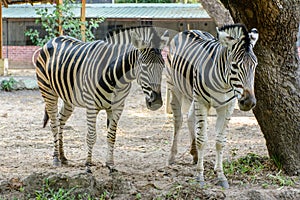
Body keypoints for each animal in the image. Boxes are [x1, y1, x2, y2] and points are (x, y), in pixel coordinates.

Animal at [35, 27, 169, 173]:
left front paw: (110, 164)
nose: (156, 102)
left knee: (60, 120)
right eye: (144, 66)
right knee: (54, 124)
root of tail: (54, 38)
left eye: (163, 66)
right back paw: (56, 158)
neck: (115, 77)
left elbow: (111, 136)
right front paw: (88, 165)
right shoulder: (91, 106)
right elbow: (91, 136)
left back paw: (63, 156)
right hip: (48, 92)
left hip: (68, 98)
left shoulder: (117, 107)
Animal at [165, 24, 258, 188]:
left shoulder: (227, 106)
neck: (224, 83)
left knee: (190, 118)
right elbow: (202, 139)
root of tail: (189, 30)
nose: (248, 102)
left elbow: (220, 142)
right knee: (178, 121)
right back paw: (172, 156)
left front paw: (221, 175)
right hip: (174, 87)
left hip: (192, 94)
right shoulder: (202, 102)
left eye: (255, 65)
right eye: (234, 66)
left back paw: (195, 155)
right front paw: (200, 176)